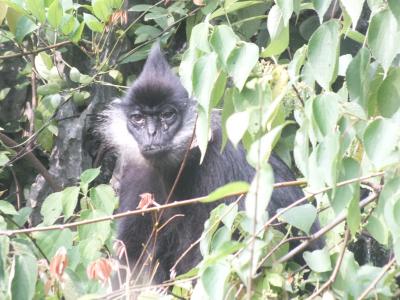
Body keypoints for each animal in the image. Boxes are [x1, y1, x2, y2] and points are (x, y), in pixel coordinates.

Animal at [99, 44, 322, 286]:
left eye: (167, 115)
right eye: (138, 118)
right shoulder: (136, 170)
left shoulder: (221, 160)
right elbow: (132, 255)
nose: (151, 133)